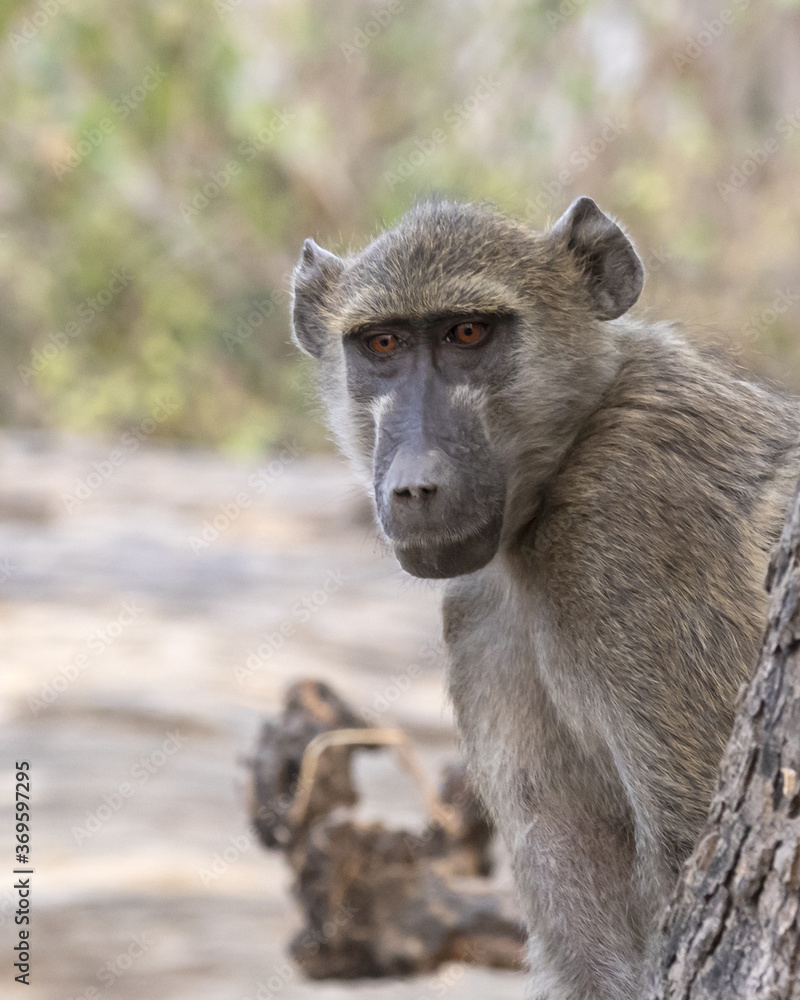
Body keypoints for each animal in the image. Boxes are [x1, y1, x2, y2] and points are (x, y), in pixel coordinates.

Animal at [290, 196, 800, 1000]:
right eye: (382, 344)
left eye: (468, 334)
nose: (415, 485)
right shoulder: (475, 612)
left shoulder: (629, 522)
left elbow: (690, 841)